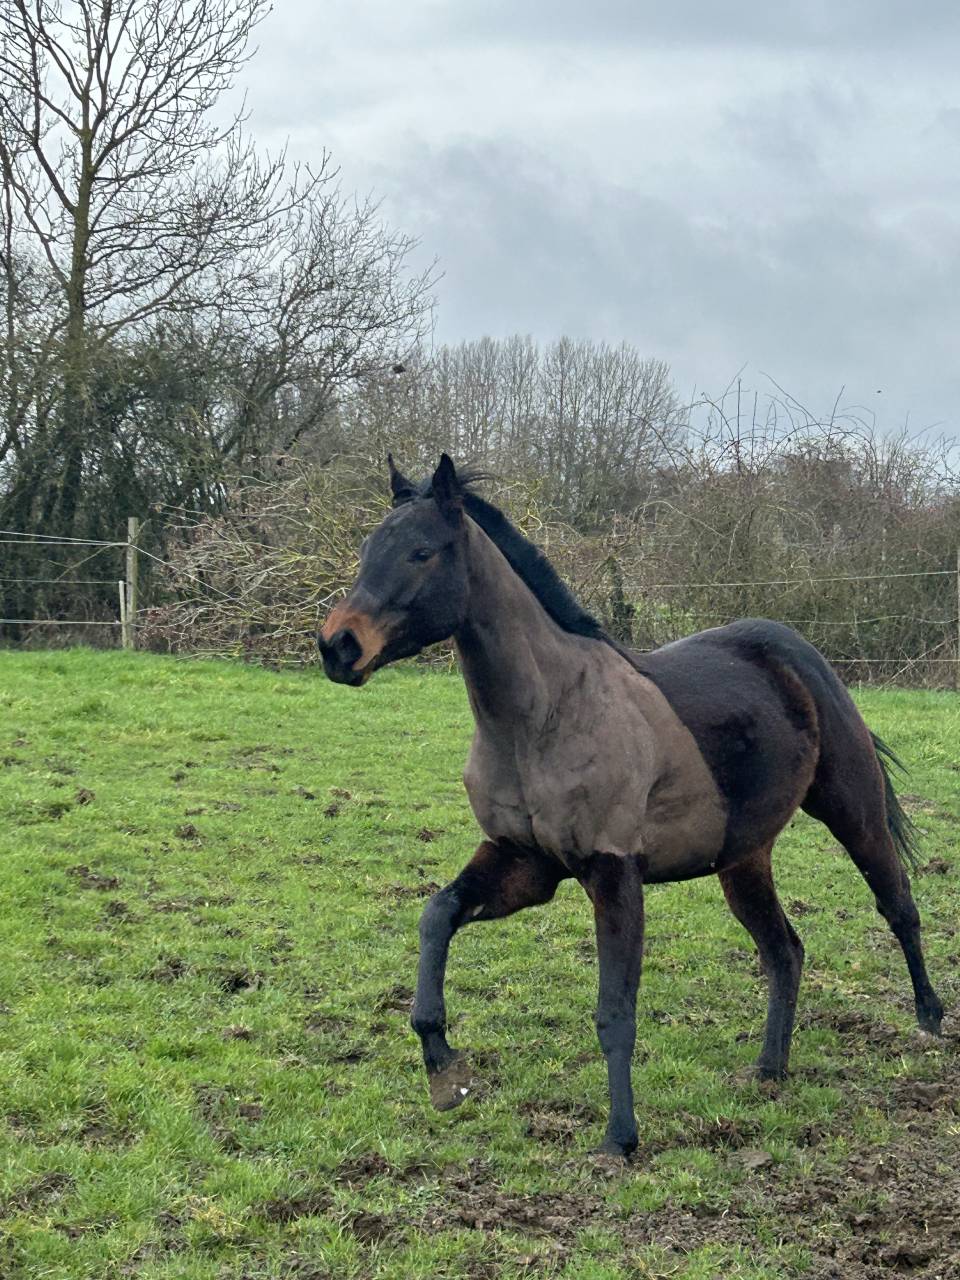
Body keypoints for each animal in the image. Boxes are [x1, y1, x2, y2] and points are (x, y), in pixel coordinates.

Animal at [318, 454, 944, 1157]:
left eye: (422, 551)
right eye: (368, 550)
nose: (338, 646)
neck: (545, 717)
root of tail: (795, 651)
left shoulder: (613, 874)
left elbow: (615, 1010)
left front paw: (619, 1137)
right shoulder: (523, 863)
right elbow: (436, 915)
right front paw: (444, 1069)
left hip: (852, 811)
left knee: (898, 906)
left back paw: (929, 1021)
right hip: (743, 860)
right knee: (785, 951)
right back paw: (769, 1069)